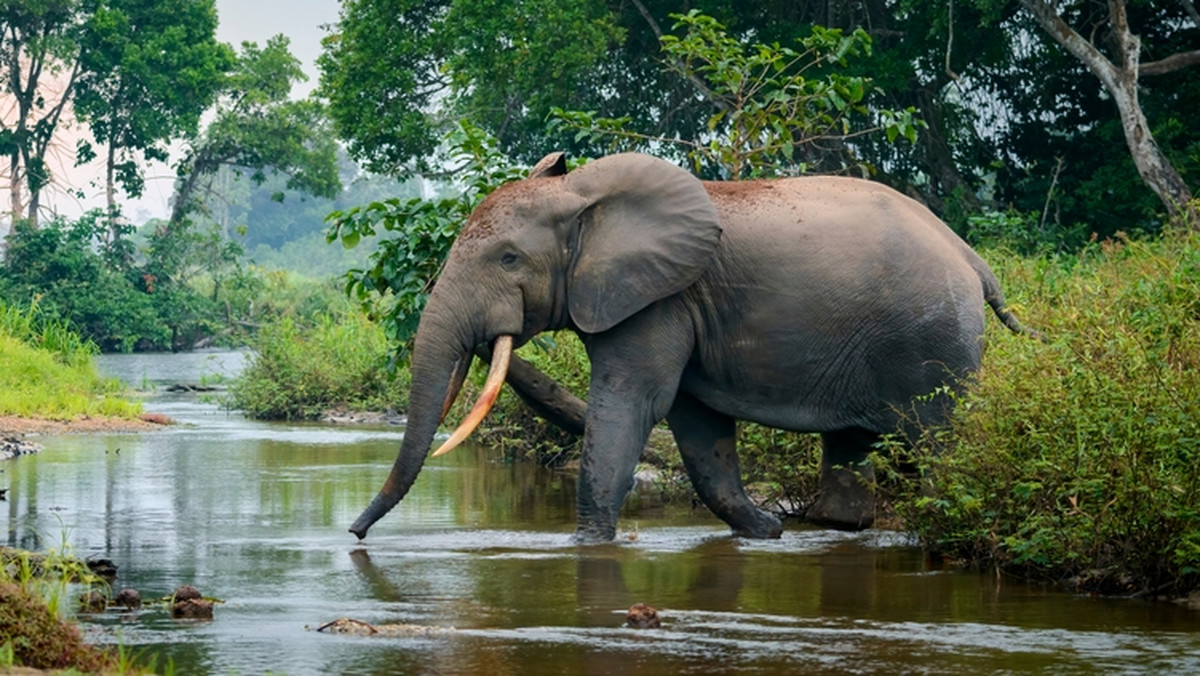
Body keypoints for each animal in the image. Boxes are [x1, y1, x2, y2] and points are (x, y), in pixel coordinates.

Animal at [348, 153, 1032, 545]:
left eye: (509, 258)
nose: (354, 535)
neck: (585, 196)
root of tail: (973, 257)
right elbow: (697, 425)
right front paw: (766, 534)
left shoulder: (658, 298)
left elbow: (633, 403)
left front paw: (585, 547)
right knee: (850, 448)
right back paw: (831, 530)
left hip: (931, 340)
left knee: (939, 442)